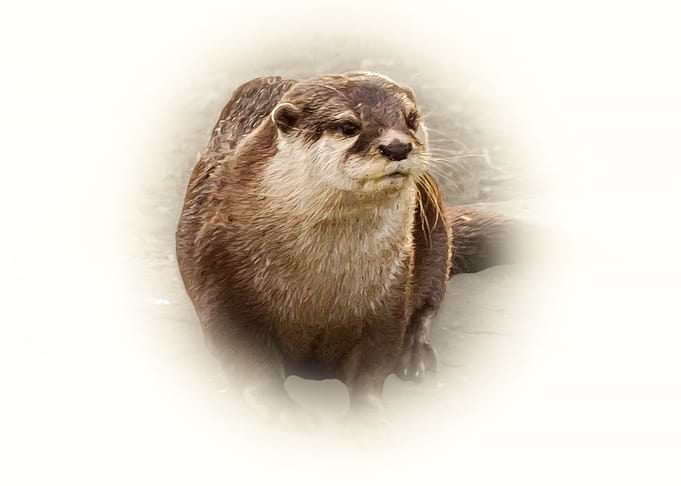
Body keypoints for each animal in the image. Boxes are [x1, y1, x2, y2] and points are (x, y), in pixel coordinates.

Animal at [176, 72, 514, 420]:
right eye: (348, 126)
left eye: (411, 119)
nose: (397, 146)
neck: (319, 285)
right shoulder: (220, 277)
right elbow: (250, 363)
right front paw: (286, 414)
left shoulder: (390, 293)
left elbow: (374, 362)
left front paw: (369, 414)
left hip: (436, 239)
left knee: (429, 303)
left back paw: (415, 355)